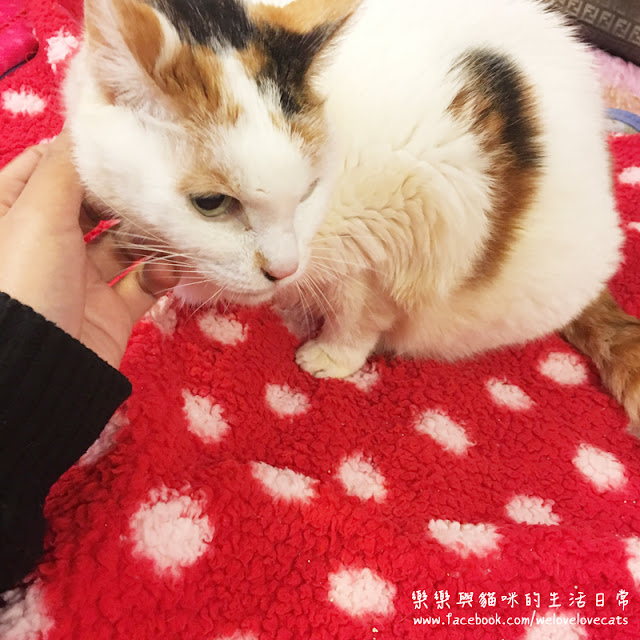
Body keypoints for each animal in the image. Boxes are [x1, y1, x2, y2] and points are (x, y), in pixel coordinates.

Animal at [64, 0, 640, 425]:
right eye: (211, 204)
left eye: (309, 191)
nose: (283, 270)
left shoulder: (424, 209)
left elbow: (361, 312)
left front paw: (332, 357)